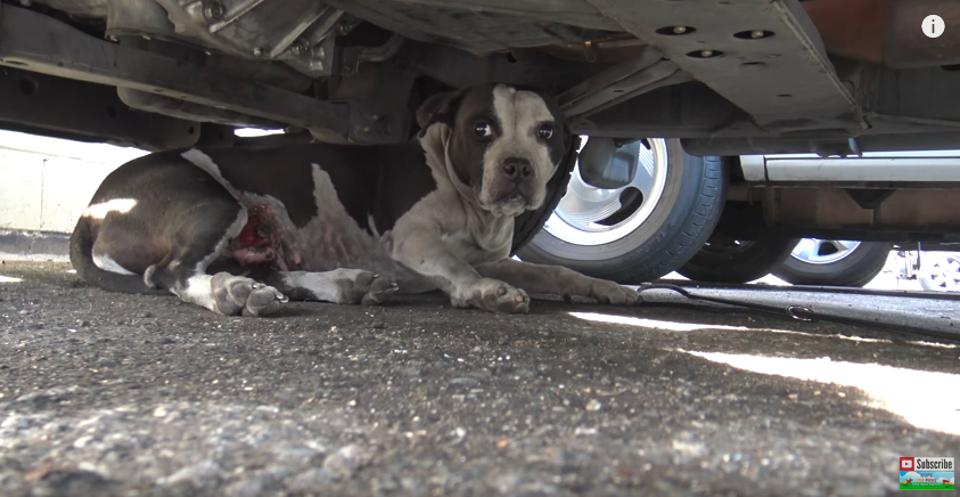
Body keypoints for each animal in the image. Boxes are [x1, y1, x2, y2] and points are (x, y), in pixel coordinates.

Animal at [71, 84, 640, 314]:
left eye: (547, 133)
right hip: (214, 205)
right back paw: (227, 293)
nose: (518, 166)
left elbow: (552, 271)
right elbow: (455, 267)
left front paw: (601, 288)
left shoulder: (495, 255)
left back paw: (342, 285)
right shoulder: (412, 239)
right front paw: (484, 293)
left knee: (271, 274)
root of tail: (92, 210)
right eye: (481, 128)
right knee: (170, 273)